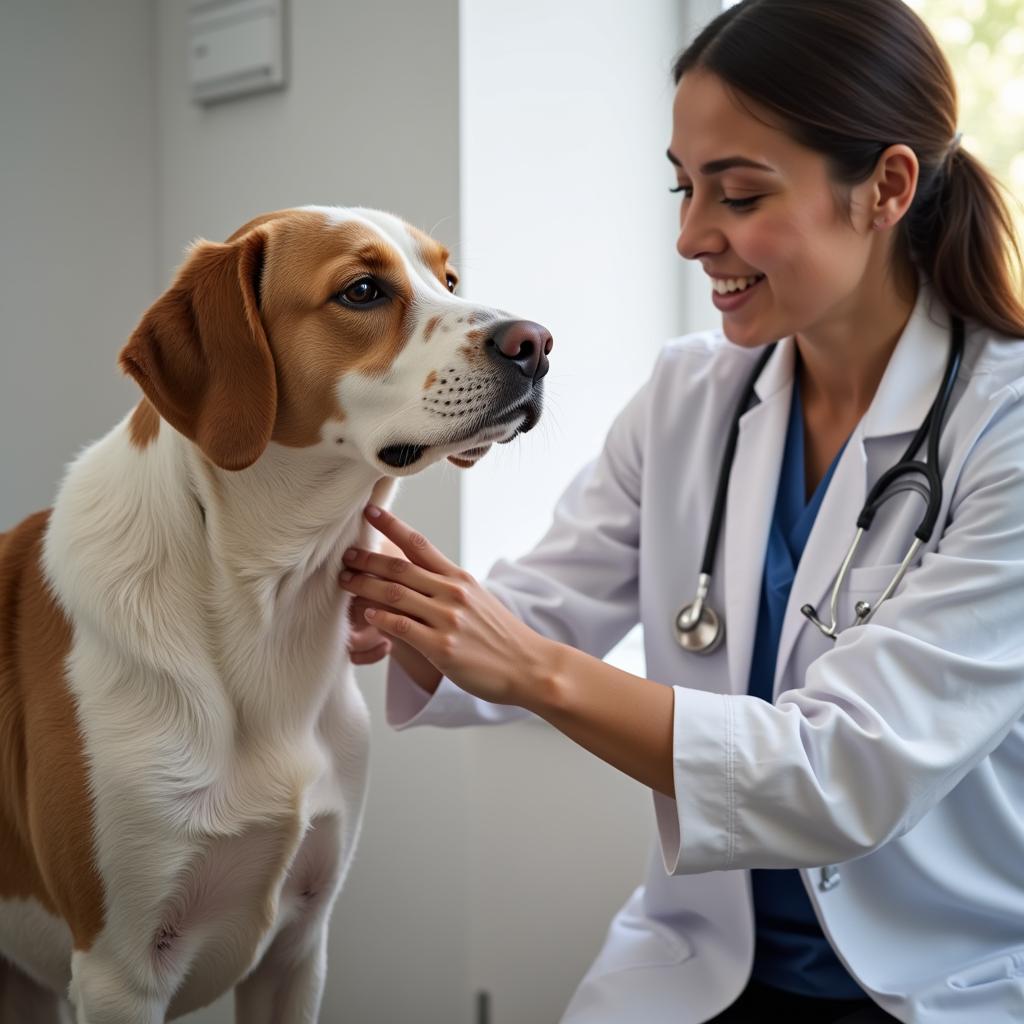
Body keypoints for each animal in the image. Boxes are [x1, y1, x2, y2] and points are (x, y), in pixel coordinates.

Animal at [0, 207, 552, 1024]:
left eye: (450, 280)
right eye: (362, 290)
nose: (537, 342)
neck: (269, 597)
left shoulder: (298, 950)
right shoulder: (118, 972)